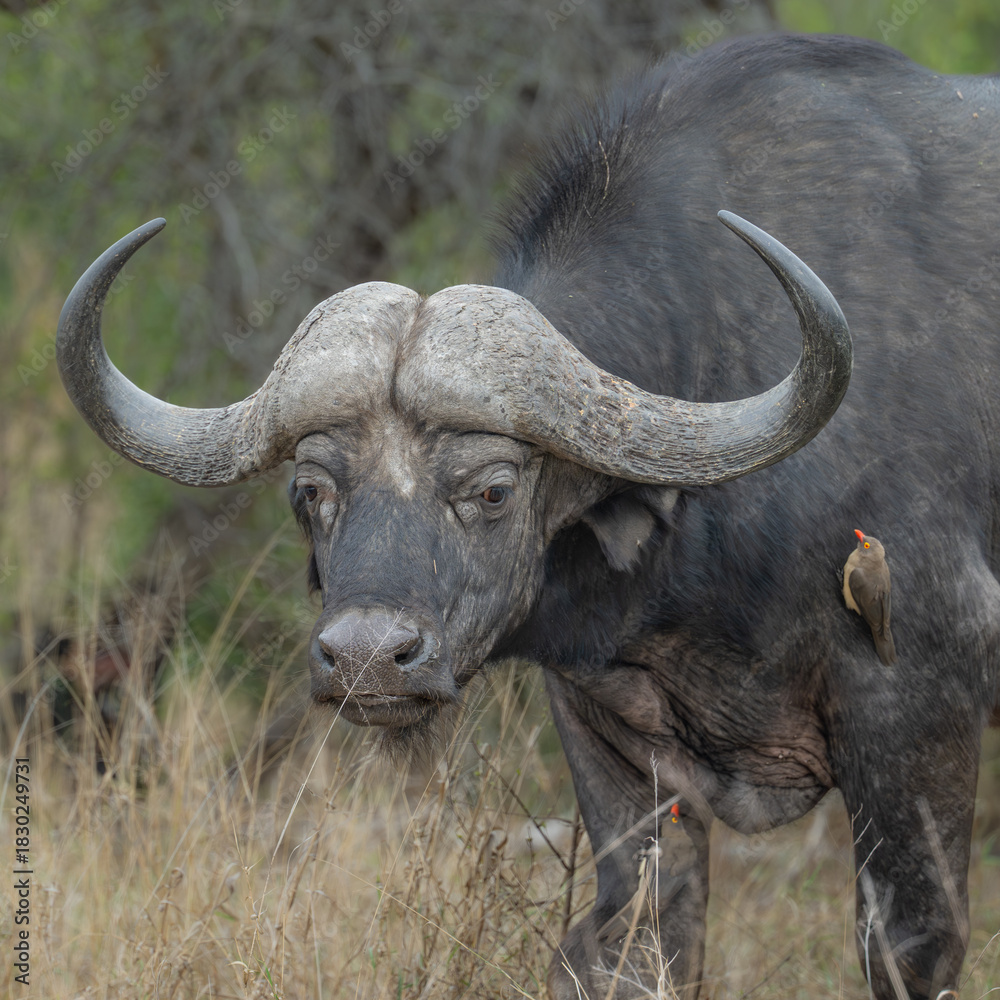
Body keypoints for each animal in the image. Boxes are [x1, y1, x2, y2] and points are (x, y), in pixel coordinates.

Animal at [57, 33, 1000, 1000]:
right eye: (310, 492)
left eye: (494, 490)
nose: (366, 660)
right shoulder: (611, 735)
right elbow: (638, 943)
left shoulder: (915, 706)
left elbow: (909, 943)